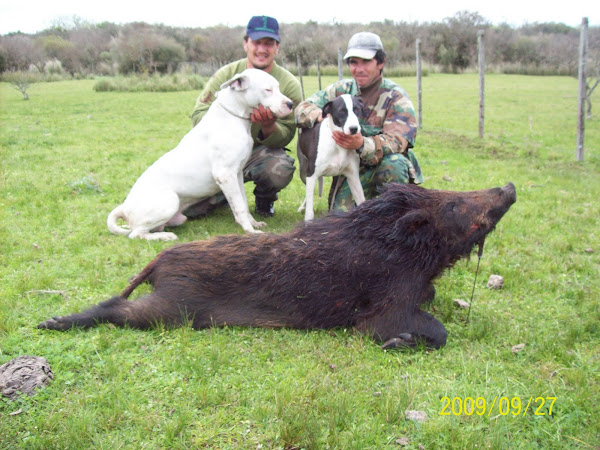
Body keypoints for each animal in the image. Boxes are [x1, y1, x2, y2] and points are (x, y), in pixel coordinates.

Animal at [109, 67, 296, 239]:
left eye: (278, 87)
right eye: (268, 89)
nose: (290, 104)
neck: (234, 115)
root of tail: (124, 207)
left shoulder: (237, 174)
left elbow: (242, 202)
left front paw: (253, 223)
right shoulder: (225, 175)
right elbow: (240, 206)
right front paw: (250, 231)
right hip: (170, 200)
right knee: (136, 234)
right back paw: (165, 236)